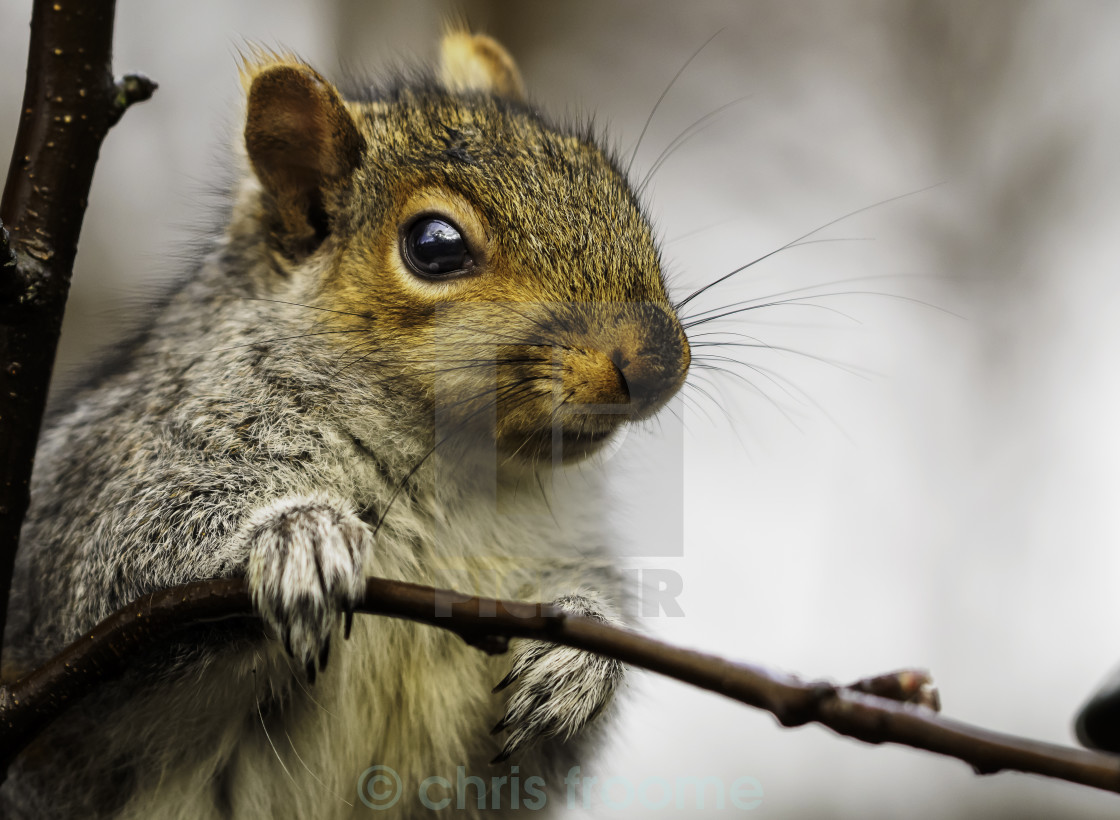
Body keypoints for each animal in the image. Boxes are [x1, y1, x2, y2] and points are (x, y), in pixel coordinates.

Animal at [0, 27, 689, 820]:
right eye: (435, 245)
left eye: (614, 186)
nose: (659, 360)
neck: (453, 473)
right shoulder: (99, 481)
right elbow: (101, 567)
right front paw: (300, 537)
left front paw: (583, 653)